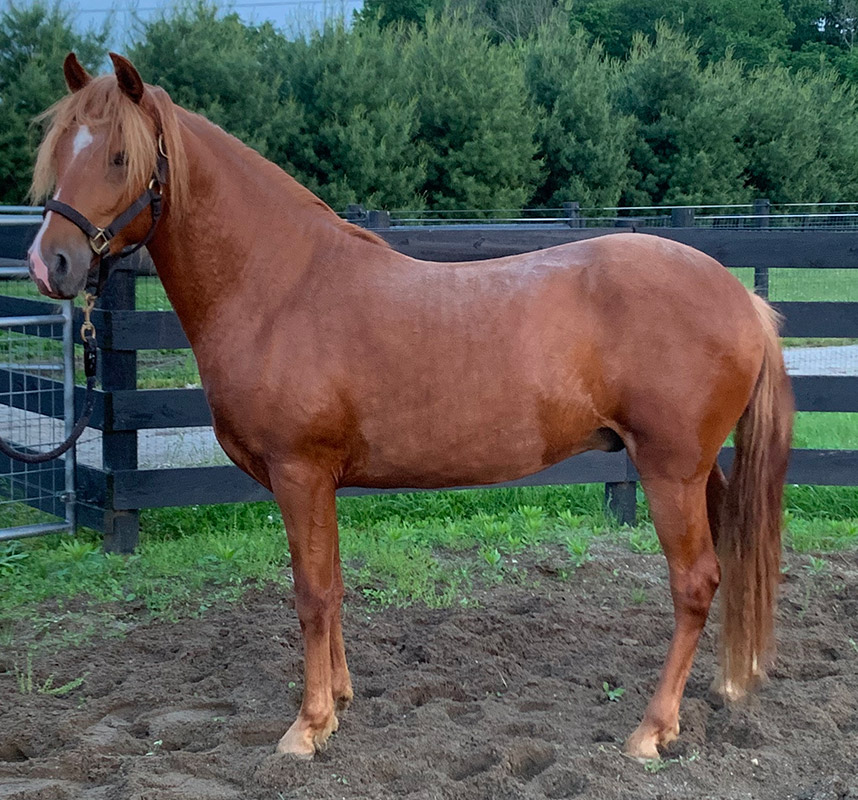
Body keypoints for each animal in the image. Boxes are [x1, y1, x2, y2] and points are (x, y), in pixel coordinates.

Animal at [27, 53, 793, 761]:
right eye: (60, 150)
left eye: (120, 155)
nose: (48, 264)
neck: (280, 287)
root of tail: (742, 299)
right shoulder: (319, 482)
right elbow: (332, 584)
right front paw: (337, 702)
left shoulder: (299, 473)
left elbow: (311, 594)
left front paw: (306, 728)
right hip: (698, 471)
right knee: (727, 557)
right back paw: (721, 689)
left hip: (669, 472)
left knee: (694, 583)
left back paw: (651, 730)